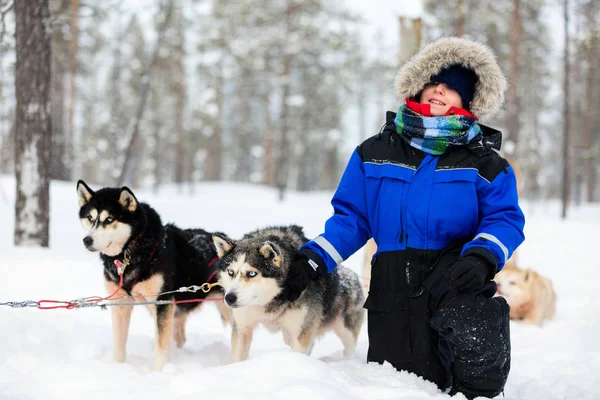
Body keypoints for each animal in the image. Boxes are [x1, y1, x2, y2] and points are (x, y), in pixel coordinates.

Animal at [77, 180, 230, 370]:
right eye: (90, 218)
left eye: (110, 219)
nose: (87, 240)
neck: (131, 252)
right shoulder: (120, 304)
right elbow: (119, 344)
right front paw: (118, 367)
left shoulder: (162, 302)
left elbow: (161, 346)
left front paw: (159, 372)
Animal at [211, 225, 364, 362]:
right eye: (231, 272)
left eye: (251, 273)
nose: (229, 298)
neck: (270, 301)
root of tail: (353, 276)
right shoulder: (242, 328)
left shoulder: (300, 334)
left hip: (344, 330)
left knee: (349, 348)